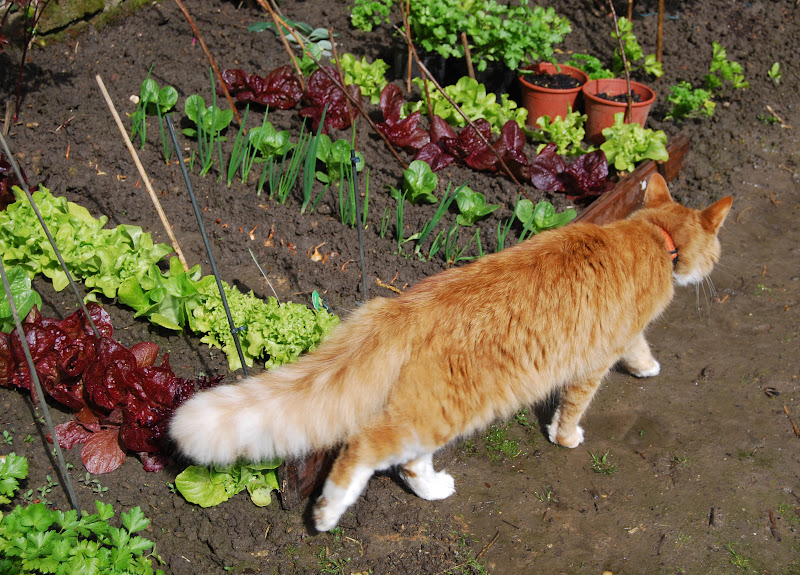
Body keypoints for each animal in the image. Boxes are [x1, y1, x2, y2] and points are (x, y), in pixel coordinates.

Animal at [169, 174, 732, 532]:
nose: (709, 270)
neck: (651, 233)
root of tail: (407, 305)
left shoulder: (622, 336)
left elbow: (638, 348)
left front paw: (646, 366)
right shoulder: (594, 361)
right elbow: (575, 405)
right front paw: (566, 436)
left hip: (432, 410)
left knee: (408, 461)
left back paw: (432, 488)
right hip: (452, 408)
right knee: (366, 446)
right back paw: (329, 512)